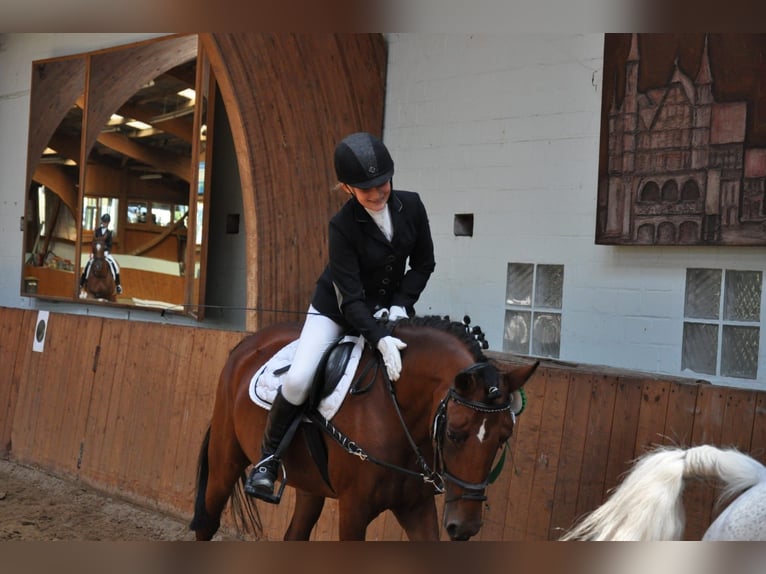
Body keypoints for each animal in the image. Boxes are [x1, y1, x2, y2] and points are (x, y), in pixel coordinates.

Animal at [190, 318, 540, 544]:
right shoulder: (354, 511)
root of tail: (248, 343)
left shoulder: (416, 507)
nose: (464, 527)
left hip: (311, 485)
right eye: (454, 433)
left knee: (295, 534)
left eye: (503, 438)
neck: (397, 415)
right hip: (226, 458)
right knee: (207, 522)